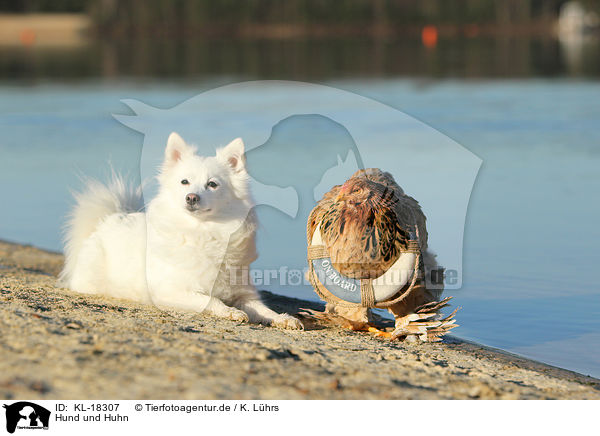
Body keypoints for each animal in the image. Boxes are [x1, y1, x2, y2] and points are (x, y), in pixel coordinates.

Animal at [60, 133, 302, 330]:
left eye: (212, 184)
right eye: (184, 182)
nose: (191, 197)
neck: (205, 232)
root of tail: (108, 219)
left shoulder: (244, 293)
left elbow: (263, 309)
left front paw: (283, 318)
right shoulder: (173, 291)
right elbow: (210, 300)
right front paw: (231, 312)